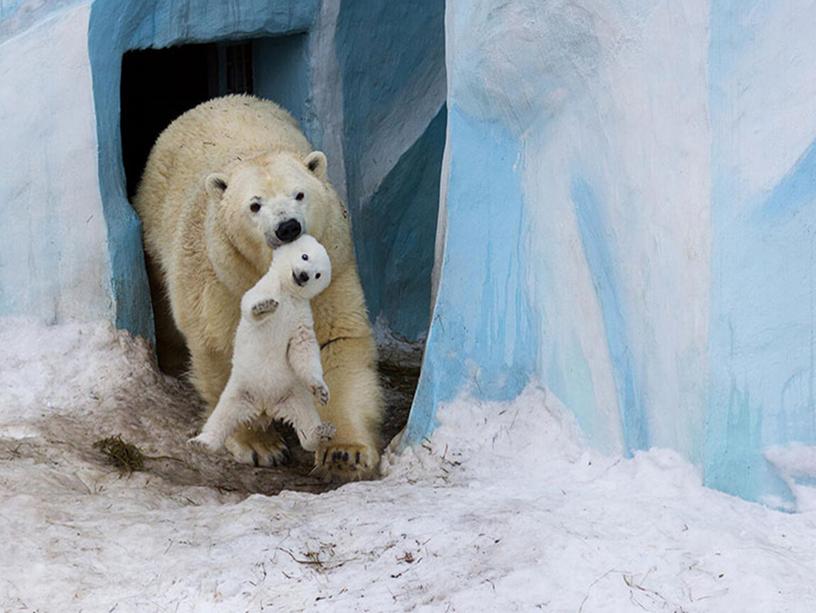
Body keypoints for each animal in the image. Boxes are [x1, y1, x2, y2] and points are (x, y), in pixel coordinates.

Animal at [135, 95, 384, 480]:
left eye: (299, 194)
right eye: (255, 205)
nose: (288, 227)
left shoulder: (334, 268)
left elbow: (334, 340)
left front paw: (346, 453)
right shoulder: (222, 278)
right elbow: (223, 347)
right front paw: (260, 445)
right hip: (156, 224)